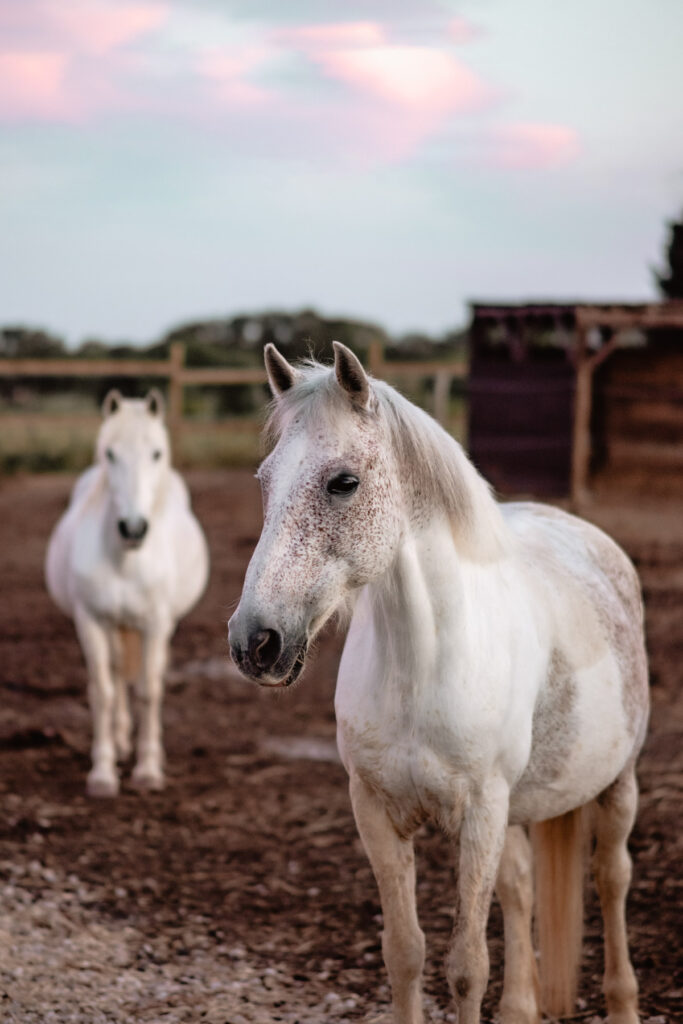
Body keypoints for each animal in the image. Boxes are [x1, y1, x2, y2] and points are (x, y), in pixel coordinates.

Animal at [45, 389, 209, 797]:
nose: (133, 528)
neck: (125, 559)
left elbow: (149, 691)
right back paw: (120, 741)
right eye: (110, 453)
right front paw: (102, 773)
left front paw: (148, 770)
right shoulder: (91, 623)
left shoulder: (155, 625)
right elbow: (103, 692)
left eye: (157, 453)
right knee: (118, 675)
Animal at [228, 342, 649, 1024]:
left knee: (612, 879)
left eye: (344, 482)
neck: (421, 666)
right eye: (265, 480)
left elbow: (466, 965)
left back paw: (623, 1003)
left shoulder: (480, 813)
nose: (254, 642)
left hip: (617, 784)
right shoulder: (377, 812)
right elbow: (405, 953)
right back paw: (521, 1007)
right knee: (521, 886)